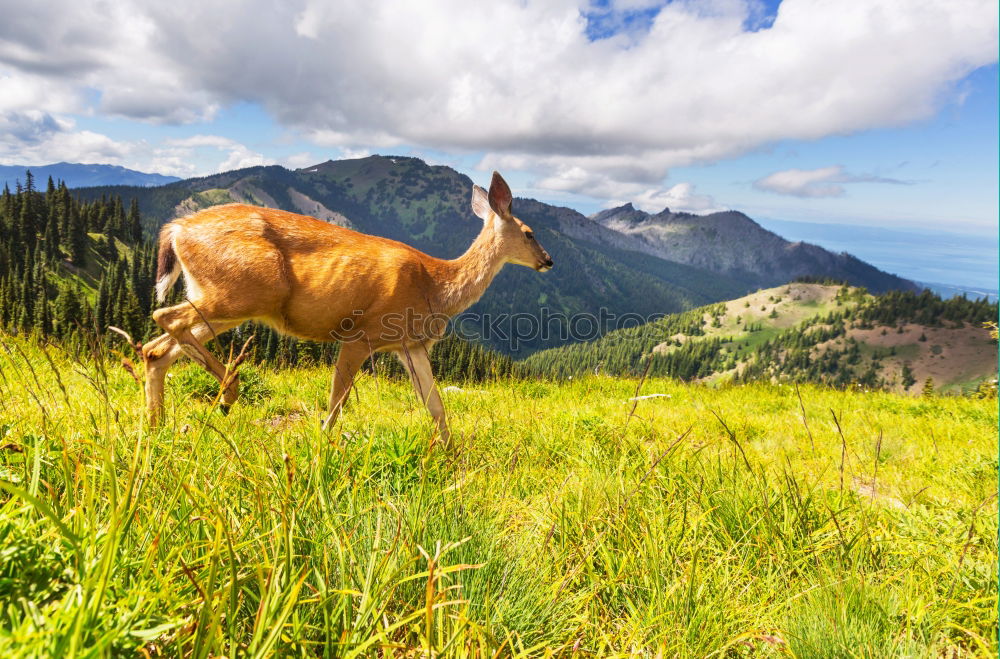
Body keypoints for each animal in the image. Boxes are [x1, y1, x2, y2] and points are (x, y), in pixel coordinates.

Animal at [139, 170, 556, 444]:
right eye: (529, 232)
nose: (548, 260)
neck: (437, 286)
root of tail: (177, 229)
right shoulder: (361, 335)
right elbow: (336, 405)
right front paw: (322, 449)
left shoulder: (410, 344)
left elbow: (436, 406)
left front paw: (452, 457)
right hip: (241, 292)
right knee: (164, 317)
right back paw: (227, 392)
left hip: (227, 300)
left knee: (157, 349)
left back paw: (158, 428)